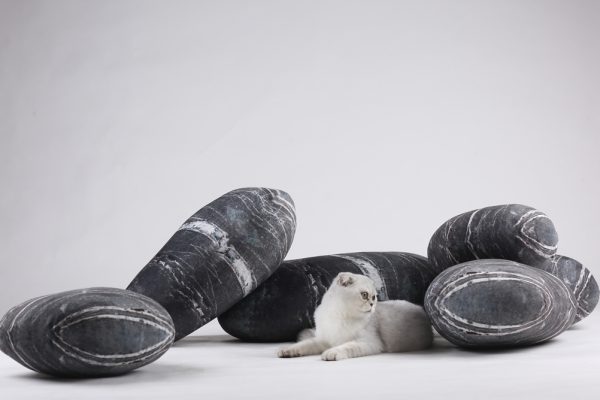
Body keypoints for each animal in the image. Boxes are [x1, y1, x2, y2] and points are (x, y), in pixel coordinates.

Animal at [274, 270, 434, 360]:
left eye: (374, 297)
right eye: (364, 295)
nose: (372, 304)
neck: (339, 316)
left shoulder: (369, 342)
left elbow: (345, 346)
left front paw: (330, 354)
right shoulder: (323, 340)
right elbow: (303, 345)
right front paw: (286, 351)